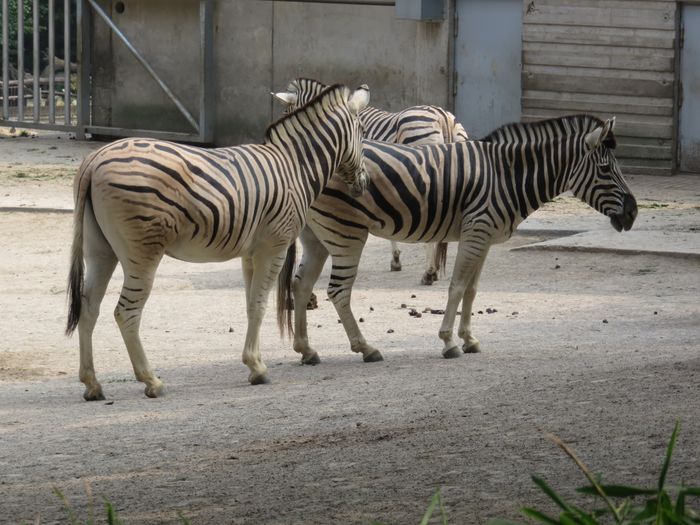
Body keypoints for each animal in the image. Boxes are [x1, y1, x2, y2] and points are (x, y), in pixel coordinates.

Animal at [66, 84, 372, 400]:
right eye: (362, 131)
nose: (364, 184)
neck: (295, 166)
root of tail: (94, 160)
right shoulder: (273, 246)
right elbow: (260, 304)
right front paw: (258, 368)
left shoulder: (250, 253)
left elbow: (250, 304)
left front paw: (253, 364)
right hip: (141, 252)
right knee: (125, 312)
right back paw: (151, 381)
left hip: (100, 250)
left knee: (88, 307)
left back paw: (92, 384)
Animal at [288, 113, 636, 364]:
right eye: (605, 169)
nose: (633, 213)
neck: (506, 177)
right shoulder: (476, 231)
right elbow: (456, 287)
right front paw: (448, 342)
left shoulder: (484, 237)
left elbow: (471, 290)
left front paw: (470, 339)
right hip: (347, 231)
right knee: (338, 291)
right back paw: (366, 348)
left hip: (318, 235)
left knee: (301, 285)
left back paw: (306, 350)